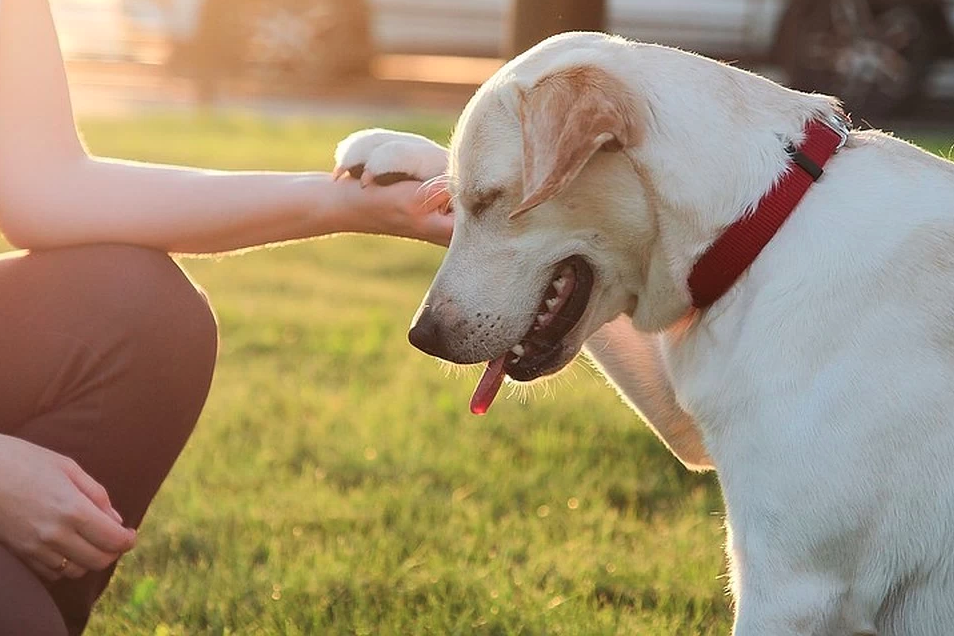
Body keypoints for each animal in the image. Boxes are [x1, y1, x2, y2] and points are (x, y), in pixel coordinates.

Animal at [332, 31, 952, 636]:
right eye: (459, 203)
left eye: (488, 200)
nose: (423, 336)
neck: (761, 224)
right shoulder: (691, 411)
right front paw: (390, 149)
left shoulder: (795, 591)